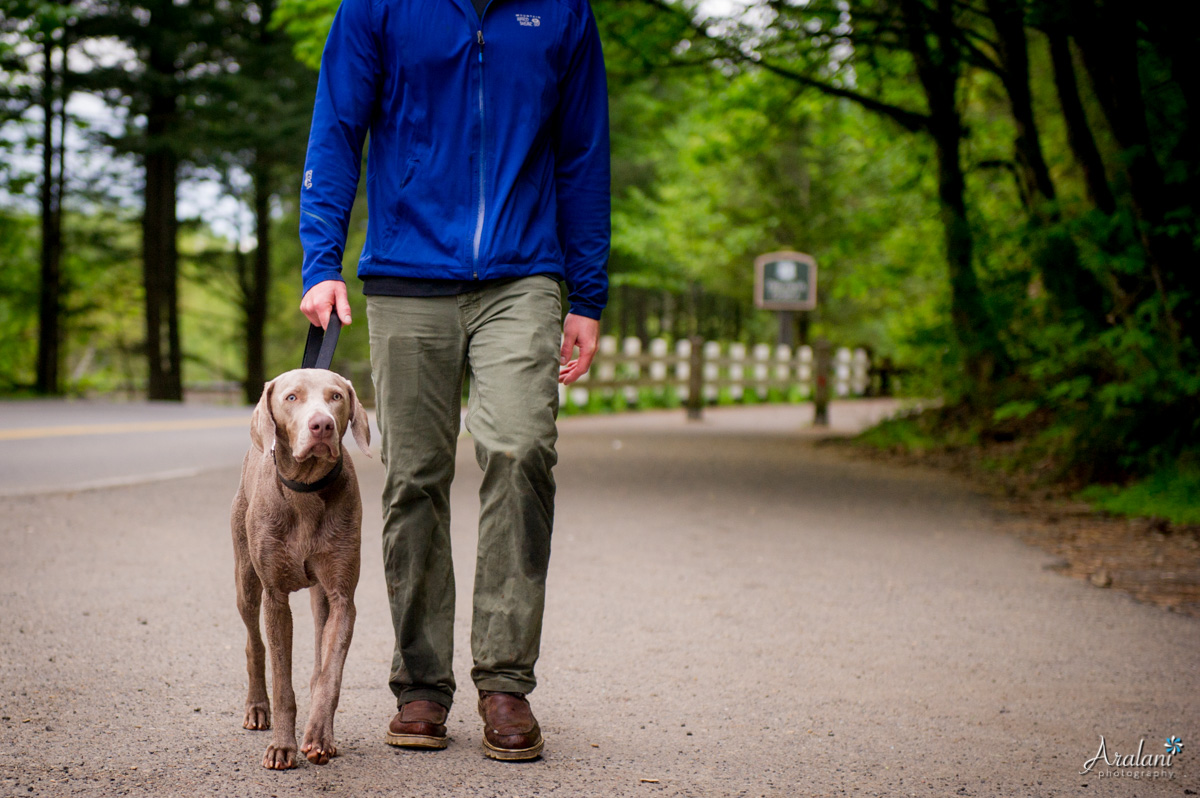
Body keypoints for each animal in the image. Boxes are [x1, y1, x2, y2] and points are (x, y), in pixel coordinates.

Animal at [228, 367, 369, 768]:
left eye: (336, 396)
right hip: (246, 580)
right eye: (291, 397)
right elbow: (281, 681)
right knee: (253, 644)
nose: (322, 425)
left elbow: (329, 674)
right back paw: (257, 708)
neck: (306, 491)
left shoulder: (342, 597)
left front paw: (319, 736)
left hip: (319, 593)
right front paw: (282, 747)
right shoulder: (275, 596)